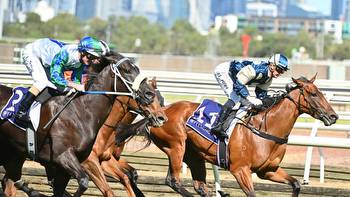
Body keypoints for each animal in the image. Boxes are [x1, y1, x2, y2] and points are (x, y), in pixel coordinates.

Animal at [0, 51, 167, 196]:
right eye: (126, 70)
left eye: (161, 99)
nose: (161, 117)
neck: (81, 113)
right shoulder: (72, 159)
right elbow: (91, 184)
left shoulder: (78, 164)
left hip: (14, 154)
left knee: (10, 181)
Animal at [120, 74, 336, 196]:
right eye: (314, 94)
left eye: (322, 92)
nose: (333, 116)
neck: (266, 130)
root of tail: (160, 112)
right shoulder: (240, 170)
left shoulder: (268, 171)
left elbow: (297, 184)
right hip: (176, 147)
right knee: (173, 181)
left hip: (194, 155)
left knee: (199, 186)